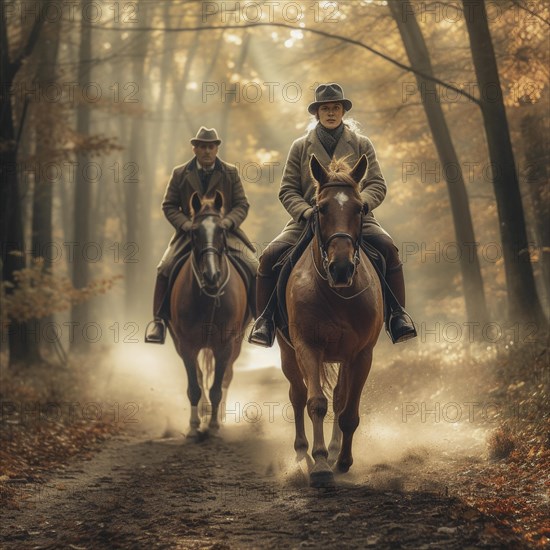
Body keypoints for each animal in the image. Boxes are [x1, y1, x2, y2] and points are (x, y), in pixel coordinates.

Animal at [170, 193, 252, 440]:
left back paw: (220, 416)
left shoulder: (224, 346)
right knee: (199, 377)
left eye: (222, 230)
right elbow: (195, 387)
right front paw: (194, 425)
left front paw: (214, 425)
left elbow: (217, 387)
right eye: (195, 231)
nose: (212, 275)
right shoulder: (187, 346)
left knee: (226, 377)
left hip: (235, 345)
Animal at [280, 154, 384, 488]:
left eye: (360, 208)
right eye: (321, 208)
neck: (336, 293)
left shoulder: (361, 354)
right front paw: (321, 463)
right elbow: (315, 402)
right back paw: (302, 451)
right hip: (288, 353)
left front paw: (343, 461)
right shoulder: (307, 347)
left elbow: (348, 411)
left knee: (339, 398)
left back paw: (336, 448)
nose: (341, 268)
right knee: (298, 395)